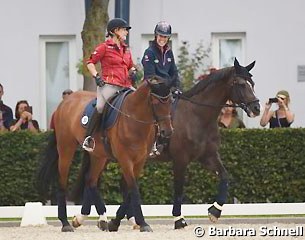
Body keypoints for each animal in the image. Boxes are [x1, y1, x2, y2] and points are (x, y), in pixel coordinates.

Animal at [36, 76, 171, 232]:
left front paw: (116, 222)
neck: (133, 118)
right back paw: (66, 223)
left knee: (90, 180)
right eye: (155, 103)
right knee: (62, 181)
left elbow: (129, 191)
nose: (167, 132)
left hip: (99, 156)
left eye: (170, 100)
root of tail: (66, 101)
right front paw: (143, 223)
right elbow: (133, 190)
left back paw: (98, 219)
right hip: (66, 148)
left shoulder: (140, 161)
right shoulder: (125, 159)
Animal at [154, 58, 258, 229]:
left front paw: (215, 211)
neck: (196, 115)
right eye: (241, 84)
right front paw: (179, 219)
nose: (256, 108)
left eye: (252, 83)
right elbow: (179, 188)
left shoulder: (208, 156)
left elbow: (225, 176)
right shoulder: (180, 159)